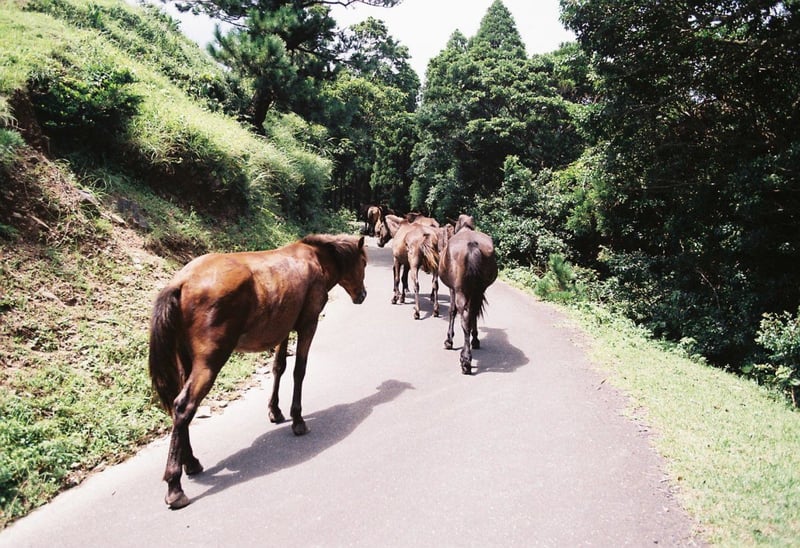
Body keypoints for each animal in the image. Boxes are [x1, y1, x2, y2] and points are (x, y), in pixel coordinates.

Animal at [148, 233, 368, 508]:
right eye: (364, 262)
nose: (363, 295)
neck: (316, 259)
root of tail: (182, 281)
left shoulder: (284, 329)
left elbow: (279, 367)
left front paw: (275, 411)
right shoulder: (308, 324)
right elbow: (299, 371)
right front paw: (298, 420)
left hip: (186, 361)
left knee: (180, 409)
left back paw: (191, 462)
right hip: (209, 362)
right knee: (183, 406)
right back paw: (174, 486)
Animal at [438, 213, 494, 372]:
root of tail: (471, 245)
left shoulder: (452, 289)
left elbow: (452, 311)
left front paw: (449, 340)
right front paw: (475, 339)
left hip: (460, 291)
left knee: (464, 318)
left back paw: (465, 360)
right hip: (478, 291)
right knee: (472, 313)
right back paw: (474, 342)